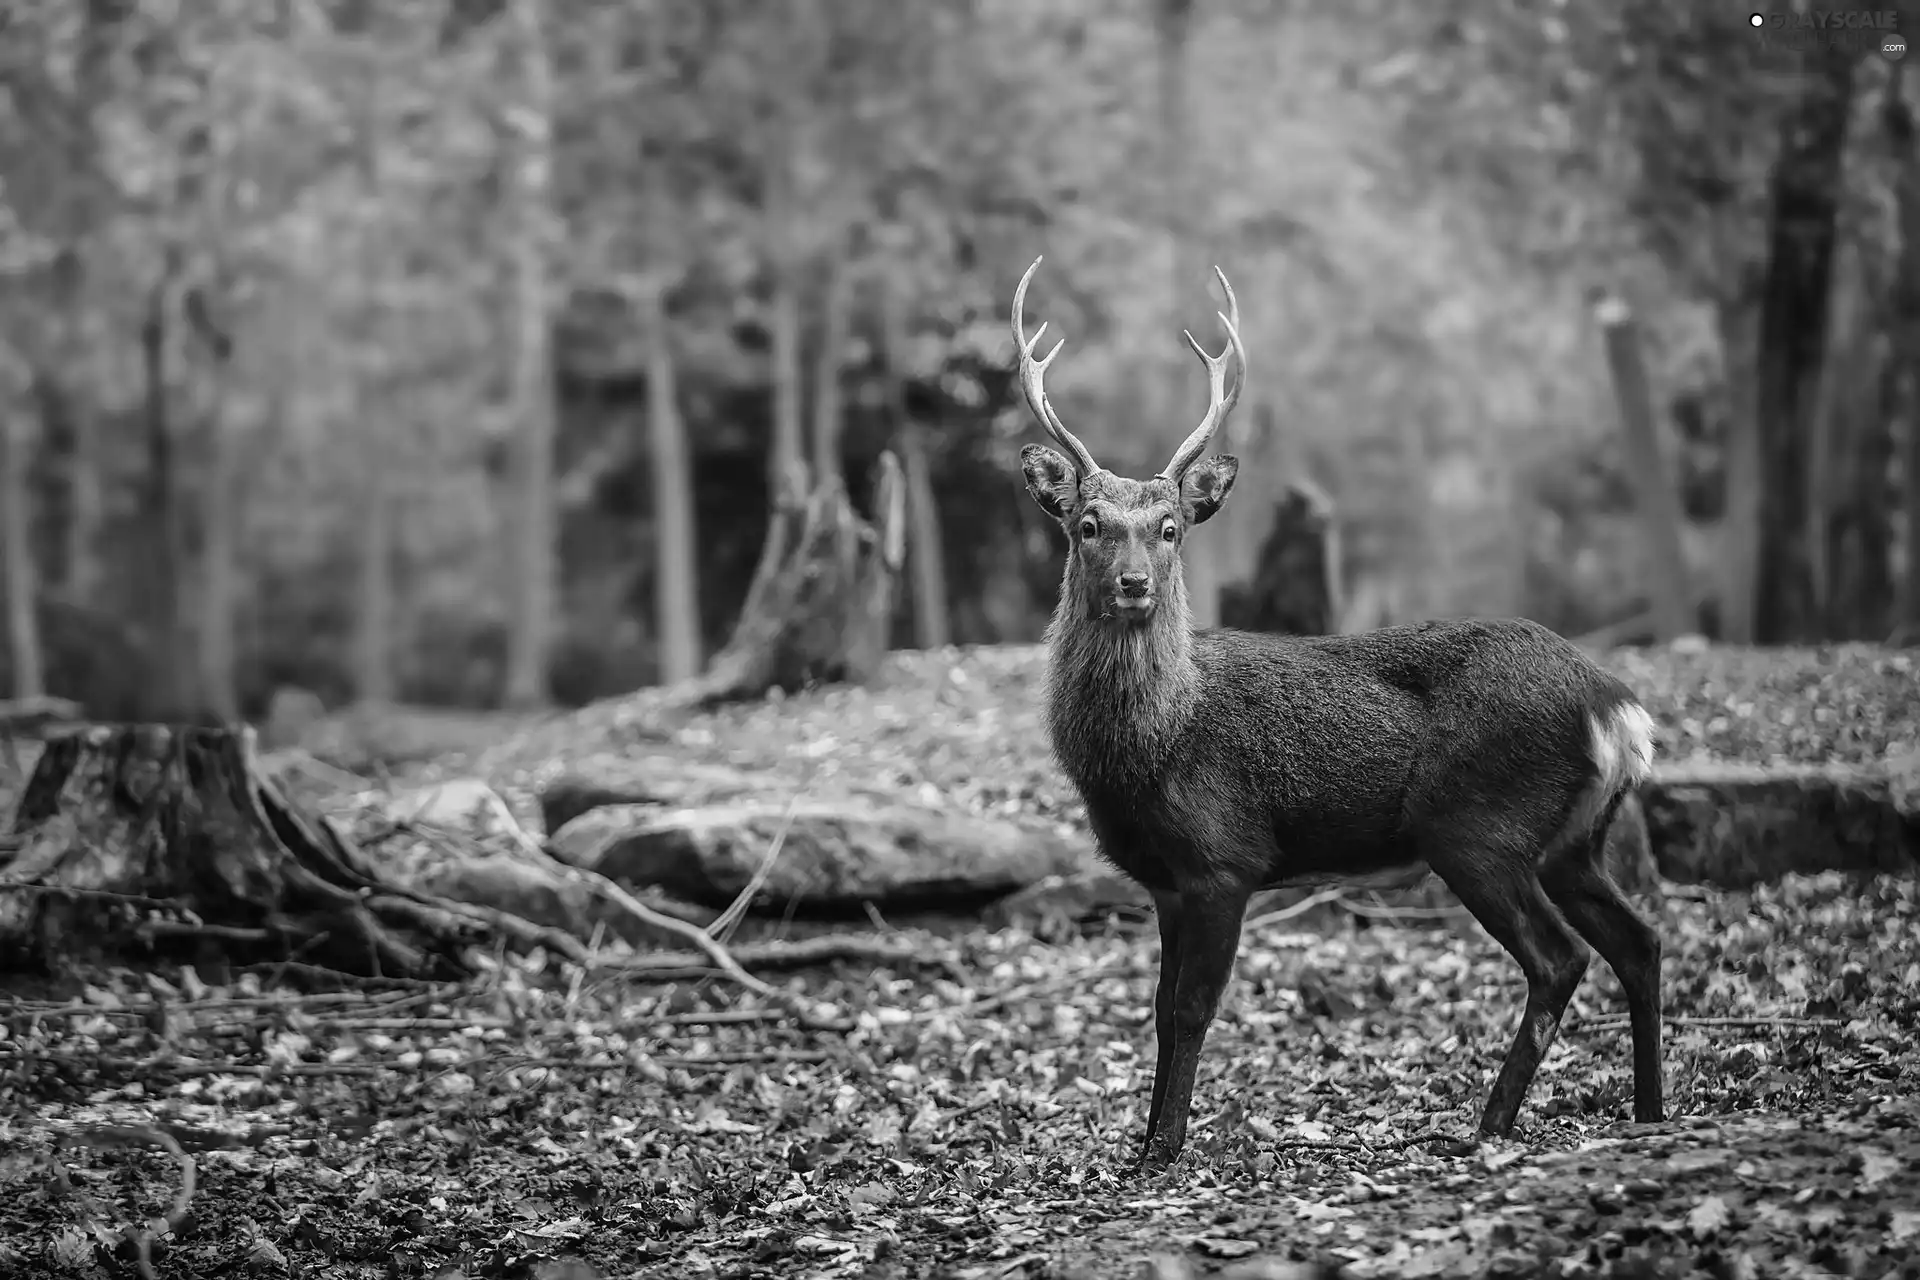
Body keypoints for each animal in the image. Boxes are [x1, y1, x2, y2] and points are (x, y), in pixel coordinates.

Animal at [1021, 257, 1666, 1174]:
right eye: (1086, 524)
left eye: (1171, 527)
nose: (1134, 584)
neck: (1154, 746)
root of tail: (1616, 706)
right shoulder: (1164, 883)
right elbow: (1156, 1012)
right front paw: (1143, 1142)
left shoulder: (1225, 861)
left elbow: (1190, 1011)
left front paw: (1165, 1151)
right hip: (1575, 838)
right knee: (1638, 942)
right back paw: (1647, 1111)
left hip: (1477, 826)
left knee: (1560, 958)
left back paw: (1487, 1126)